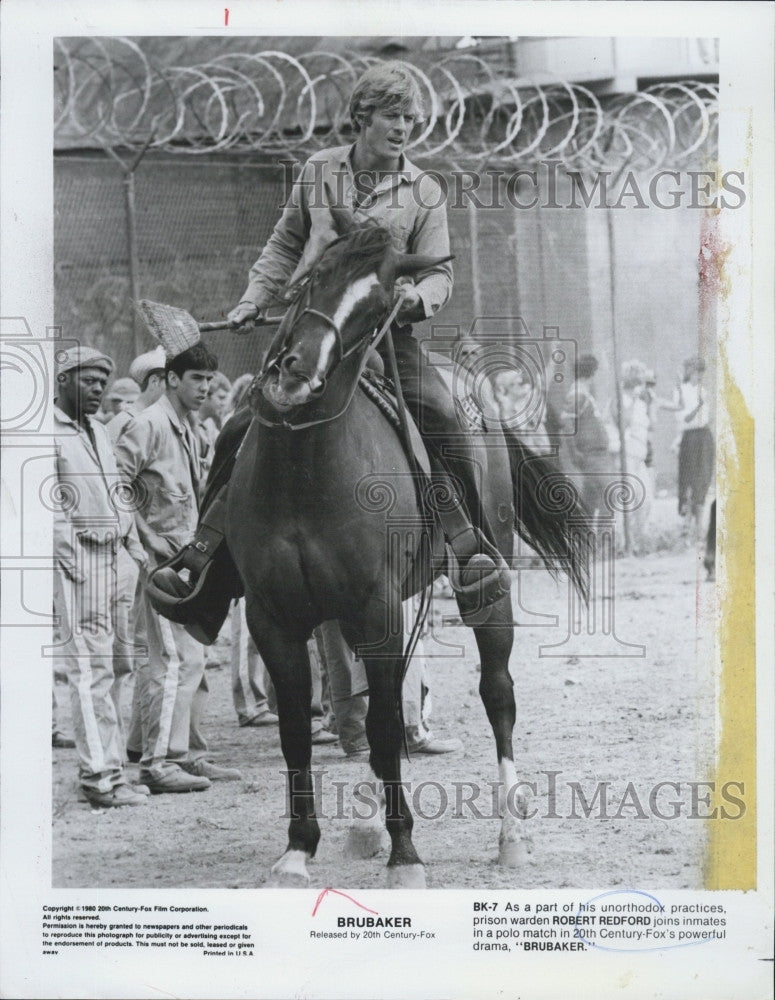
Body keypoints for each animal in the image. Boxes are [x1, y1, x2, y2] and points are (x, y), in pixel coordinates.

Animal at [229, 215, 588, 888]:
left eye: (378, 310)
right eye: (314, 275)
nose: (294, 372)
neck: (303, 471)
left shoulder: (375, 610)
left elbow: (386, 723)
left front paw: (406, 854)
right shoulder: (274, 618)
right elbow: (300, 730)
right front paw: (298, 850)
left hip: (483, 590)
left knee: (496, 696)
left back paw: (510, 835)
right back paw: (368, 822)